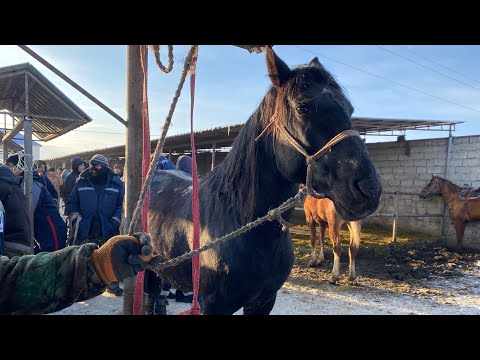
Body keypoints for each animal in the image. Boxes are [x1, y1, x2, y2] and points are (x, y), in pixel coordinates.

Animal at [146, 46, 382, 314]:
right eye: (302, 108)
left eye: (350, 109)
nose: (370, 189)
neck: (239, 222)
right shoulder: (215, 305)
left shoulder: (265, 300)